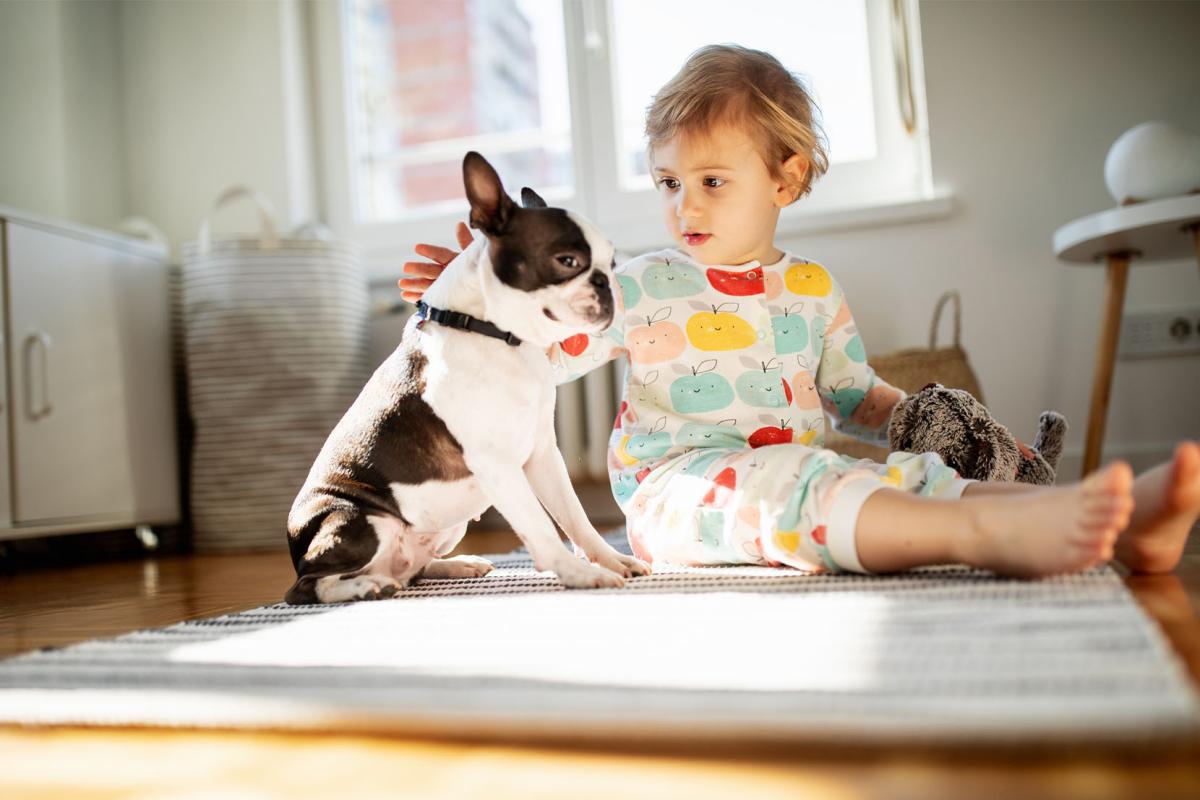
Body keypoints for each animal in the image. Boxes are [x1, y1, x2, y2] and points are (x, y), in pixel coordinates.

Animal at [283, 149, 648, 604]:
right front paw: (579, 574)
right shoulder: (497, 464)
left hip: (445, 526)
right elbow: (540, 526)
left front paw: (610, 561)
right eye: (568, 262)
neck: (497, 334)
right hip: (358, 520)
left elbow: (575, 517)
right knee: (307, 586)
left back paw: (454, 565)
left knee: (414, 570)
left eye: (610, 263)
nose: (608, 283)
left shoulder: (543, 454)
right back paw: (365, 585)